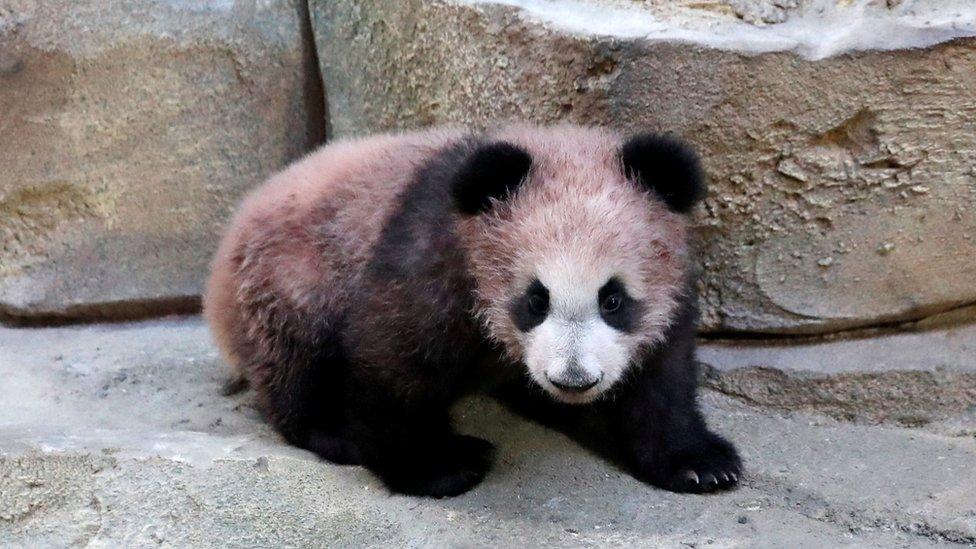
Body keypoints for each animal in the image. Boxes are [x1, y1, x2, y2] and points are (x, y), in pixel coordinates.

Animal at [204, 123, 740, 496]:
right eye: (535, 300)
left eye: (613, 300)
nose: (573, 380)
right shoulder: (435, 256)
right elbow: (393, 361)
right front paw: (438, 467)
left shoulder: (668, 292)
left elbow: (662, 378)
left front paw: (701, 465)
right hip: (291, 274)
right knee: (298, 358)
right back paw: (334, 430)